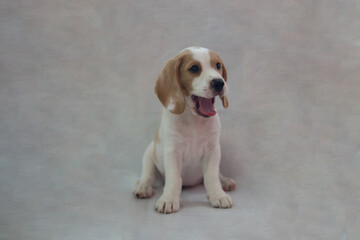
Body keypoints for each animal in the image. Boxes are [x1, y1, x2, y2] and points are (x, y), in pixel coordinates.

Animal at [133, 47, 236, 214]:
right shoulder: (172, 151)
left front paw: (218, 195)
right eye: (194, 68)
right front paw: (169, 199)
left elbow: (212, 176)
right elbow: (174, 178)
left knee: (217, 174)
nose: (219, 82)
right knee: (148, 175)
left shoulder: (213, 150)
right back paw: (143, 187)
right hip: (149, 154)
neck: (194, 121)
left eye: (218, 66)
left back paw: (225, 181)